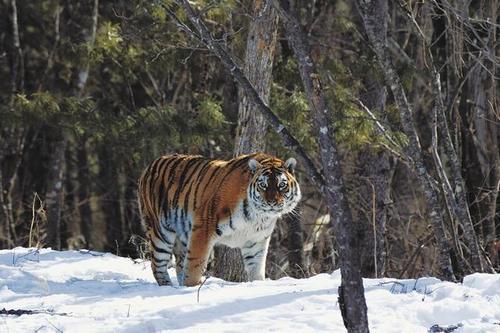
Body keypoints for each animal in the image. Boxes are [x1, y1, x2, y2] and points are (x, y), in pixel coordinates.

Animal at [138, 152, 300, 286]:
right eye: (263, 185)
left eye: (281, 185)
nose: (272, 202)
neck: (258, 217)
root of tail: (151, 165)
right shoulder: (203, 228)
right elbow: (195, 264)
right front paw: (192, 287)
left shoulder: (256, 241)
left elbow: (256, 269)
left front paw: (258, 285)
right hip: (160, 232)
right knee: (157, 265)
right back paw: (169, 288)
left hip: (182, 234)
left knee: (179, 263)